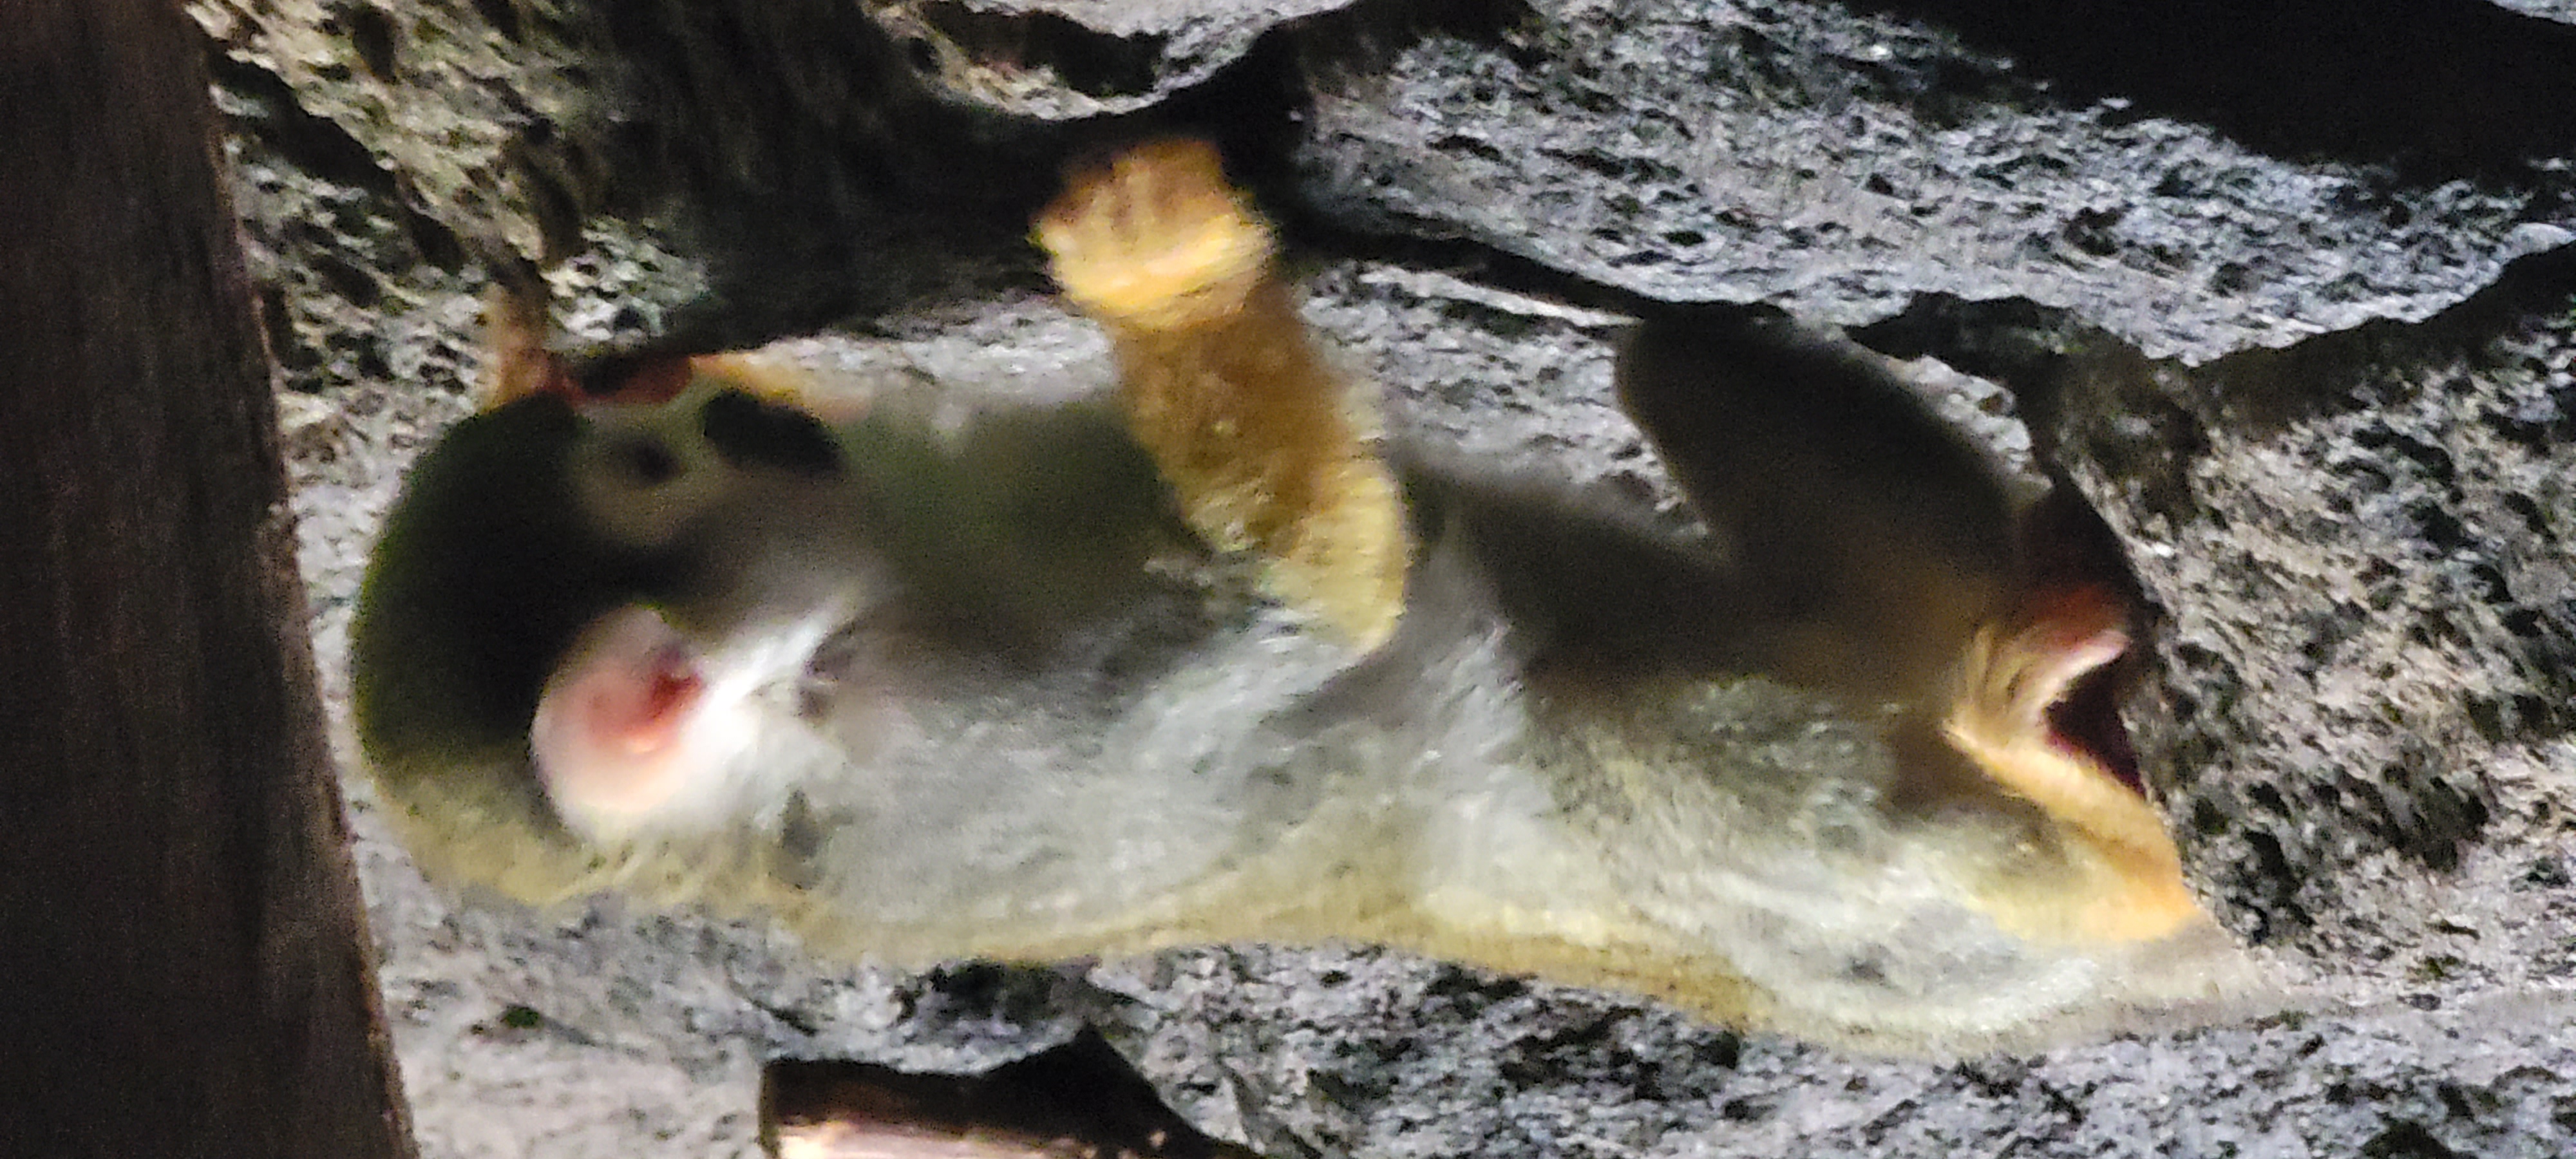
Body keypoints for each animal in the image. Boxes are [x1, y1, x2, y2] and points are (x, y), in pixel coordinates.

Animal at [350, 139, 2259, 1055]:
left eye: (705, 432)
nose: (770, 416)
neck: (812, 687)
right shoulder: (965, 710)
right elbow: (1326, 601)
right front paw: (1163, 271)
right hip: (1850, 930)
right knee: (1656, 730)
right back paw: (2060, 784)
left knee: (1679, 361)